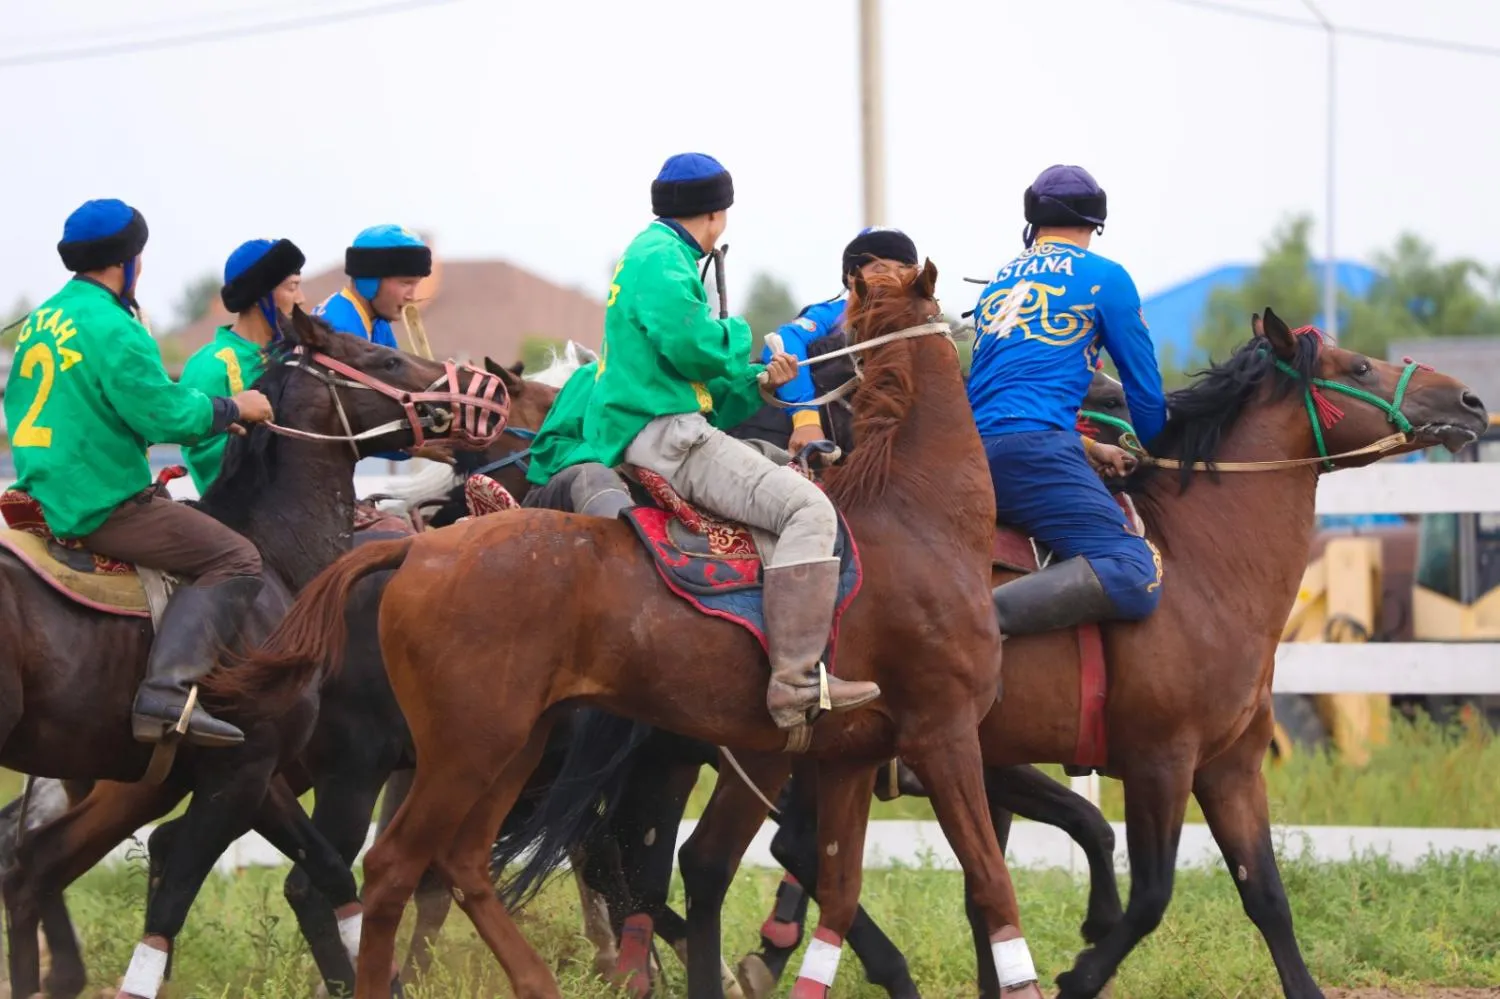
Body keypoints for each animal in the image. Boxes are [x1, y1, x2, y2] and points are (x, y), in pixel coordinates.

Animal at [0, 306, 510, 996]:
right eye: (386, 360)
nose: (488, 394)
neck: (274, 559)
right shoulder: (270, 771)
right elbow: (177, 902)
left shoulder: (257, 771)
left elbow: (327, 873)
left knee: (33, 865)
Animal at [222, 262, 1050, 996]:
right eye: (383, 355)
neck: (912, 515)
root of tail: (419, 548)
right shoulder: (943, 734)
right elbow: (990, 882)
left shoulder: (846, 756)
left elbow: (836, 896)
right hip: (451, 752)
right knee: (391, 867)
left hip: (512, 747)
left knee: (457, 862)